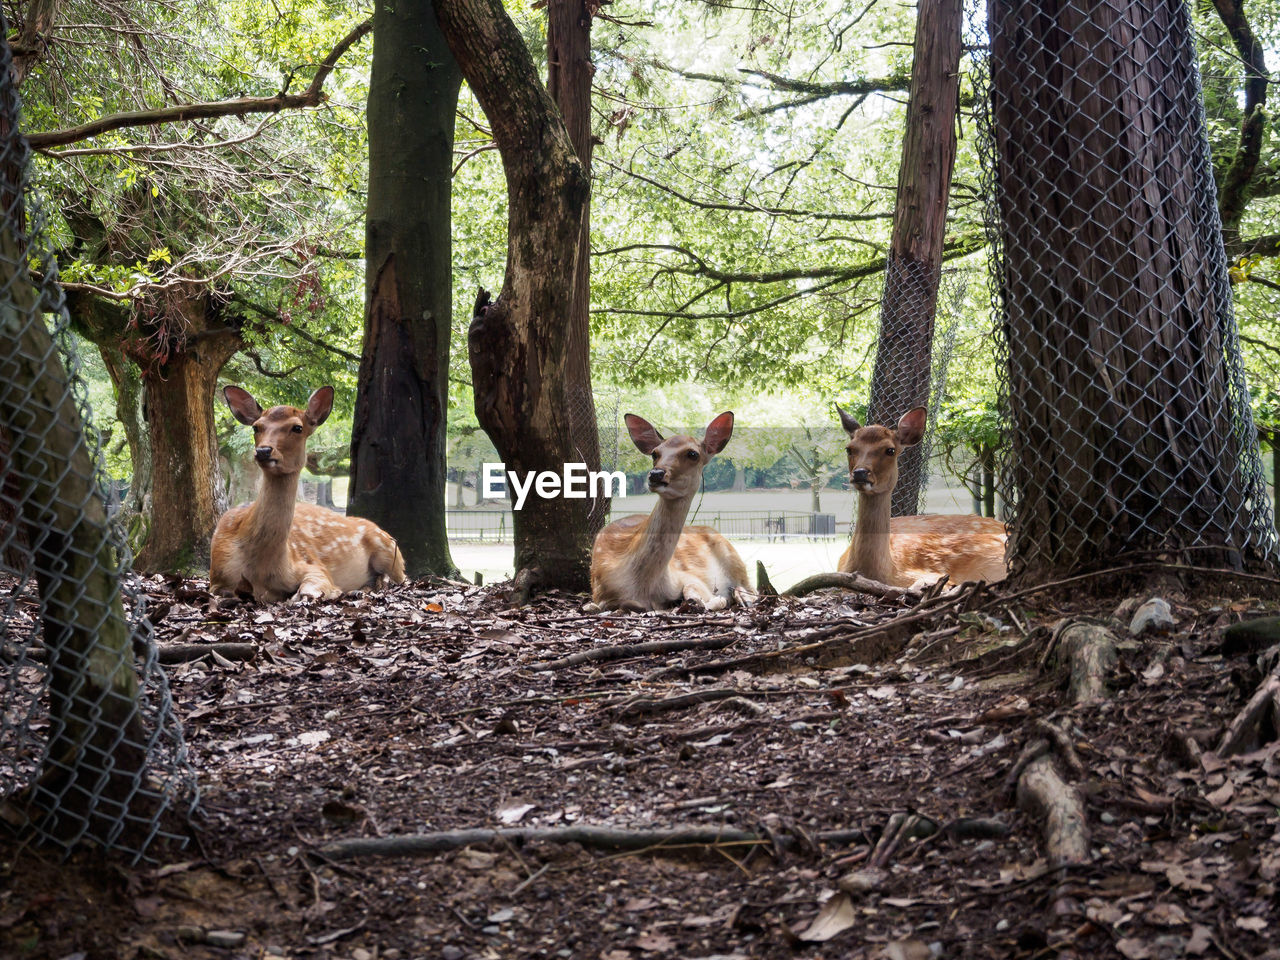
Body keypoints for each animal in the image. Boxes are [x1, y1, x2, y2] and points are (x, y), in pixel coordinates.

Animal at [211, 386, 404, 601]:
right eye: (256, 427)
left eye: (297, 428)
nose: (263, 451)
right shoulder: (217, 576)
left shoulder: (312, 565)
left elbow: (309, 591)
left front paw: (331, 592)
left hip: (390, 551)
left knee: (402, 578)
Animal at [586, 414, 752, 616]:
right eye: (654, 453)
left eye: (693, 454)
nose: (656, 473)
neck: (643, 585)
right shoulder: (600, 592)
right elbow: (611, 605)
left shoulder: (690, 577)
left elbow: (696, 594)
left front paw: (713, 600)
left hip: (734, 558)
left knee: (750, 587)